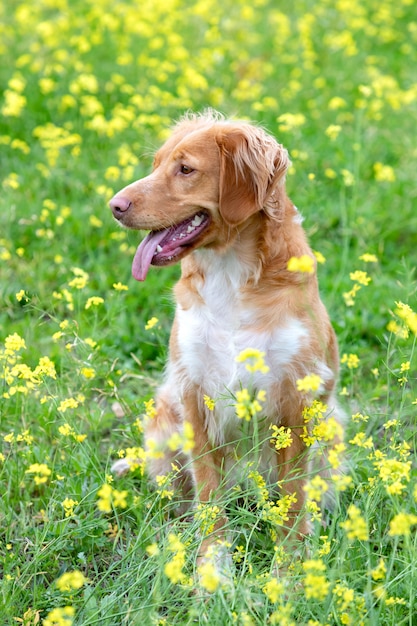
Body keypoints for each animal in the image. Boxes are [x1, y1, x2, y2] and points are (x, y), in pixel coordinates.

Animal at [109, 109, 342, 552]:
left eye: (185, 169)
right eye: (156, 164)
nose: (114, 206)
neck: (230, 274)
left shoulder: (295, 397)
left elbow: (292, 500)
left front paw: (290, 565)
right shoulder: (194, 391)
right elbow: (208, 496)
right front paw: (211, 565)